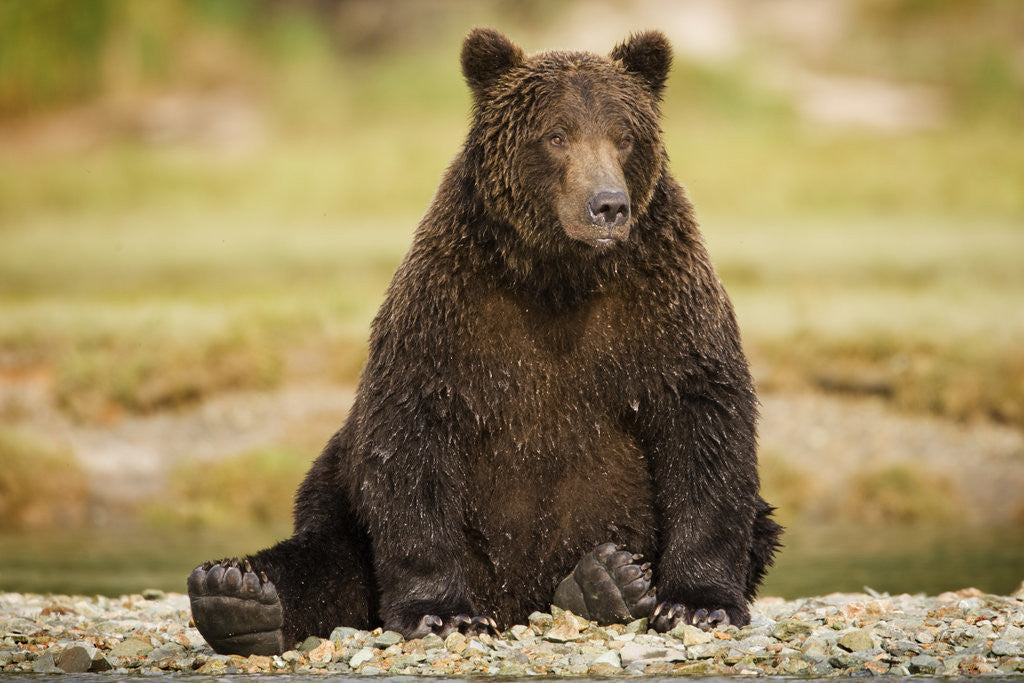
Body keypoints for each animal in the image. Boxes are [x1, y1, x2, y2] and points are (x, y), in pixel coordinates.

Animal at [187, 27, 782, 656]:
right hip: (339, 483)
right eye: (556, 135)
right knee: (327, 553)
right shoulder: (453, 304)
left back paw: (604, 581)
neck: (559, 276)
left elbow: (703, 419)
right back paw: (236, 595)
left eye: (624, 136)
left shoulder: (662, 302)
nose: (608, 206)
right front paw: (441, 611)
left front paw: (697, 603)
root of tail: (515, 599)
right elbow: (412, 430)